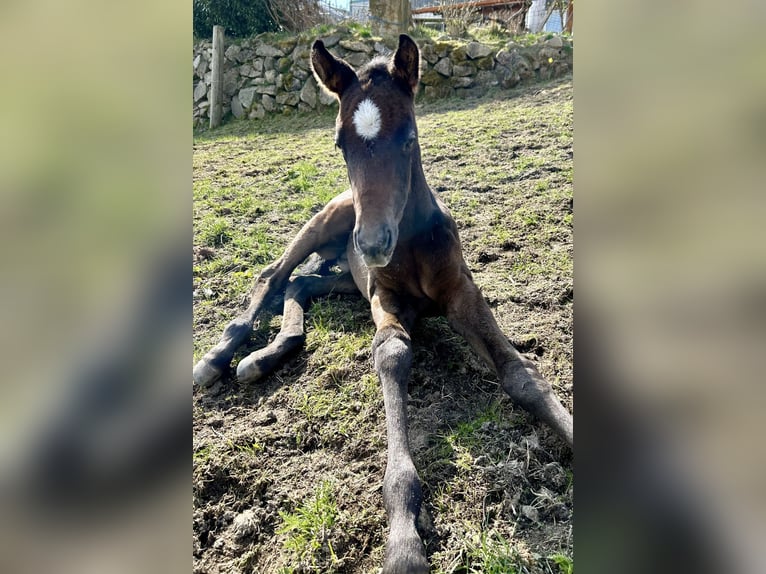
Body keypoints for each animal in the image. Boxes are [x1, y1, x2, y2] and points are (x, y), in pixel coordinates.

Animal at [195, 35, 572, 574]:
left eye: (410, 136)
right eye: (339, 143)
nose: (373, 245)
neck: (412, 243)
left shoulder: (462, 293)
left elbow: (521, 373)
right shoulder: (385, 300)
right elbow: (392, 355)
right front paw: (403, 542)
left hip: (346, 278)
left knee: (301, 285)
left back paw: (264, 357)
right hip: (324, 225)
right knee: (273, 277)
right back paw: (218, 357)